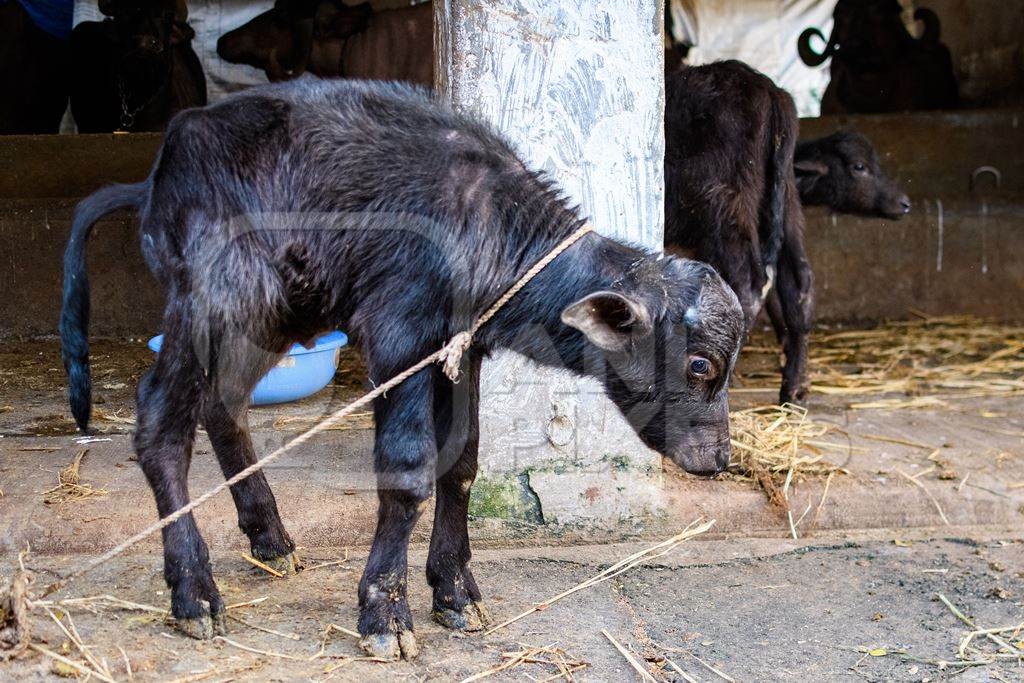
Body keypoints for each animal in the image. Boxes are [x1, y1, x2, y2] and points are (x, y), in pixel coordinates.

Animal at [59, 80, 741, 663]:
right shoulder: (399, 339)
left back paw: (270, 538)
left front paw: (457, 591)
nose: (718, 458)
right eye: (700, 363)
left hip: (269, 318)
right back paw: (194, 592)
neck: (485, 221)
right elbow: (409, 470)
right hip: (210, 304)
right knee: (159, 423)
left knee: (222, 405)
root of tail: (160, 173)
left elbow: (461, 463)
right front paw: (385, 613)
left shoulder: (460, 351)